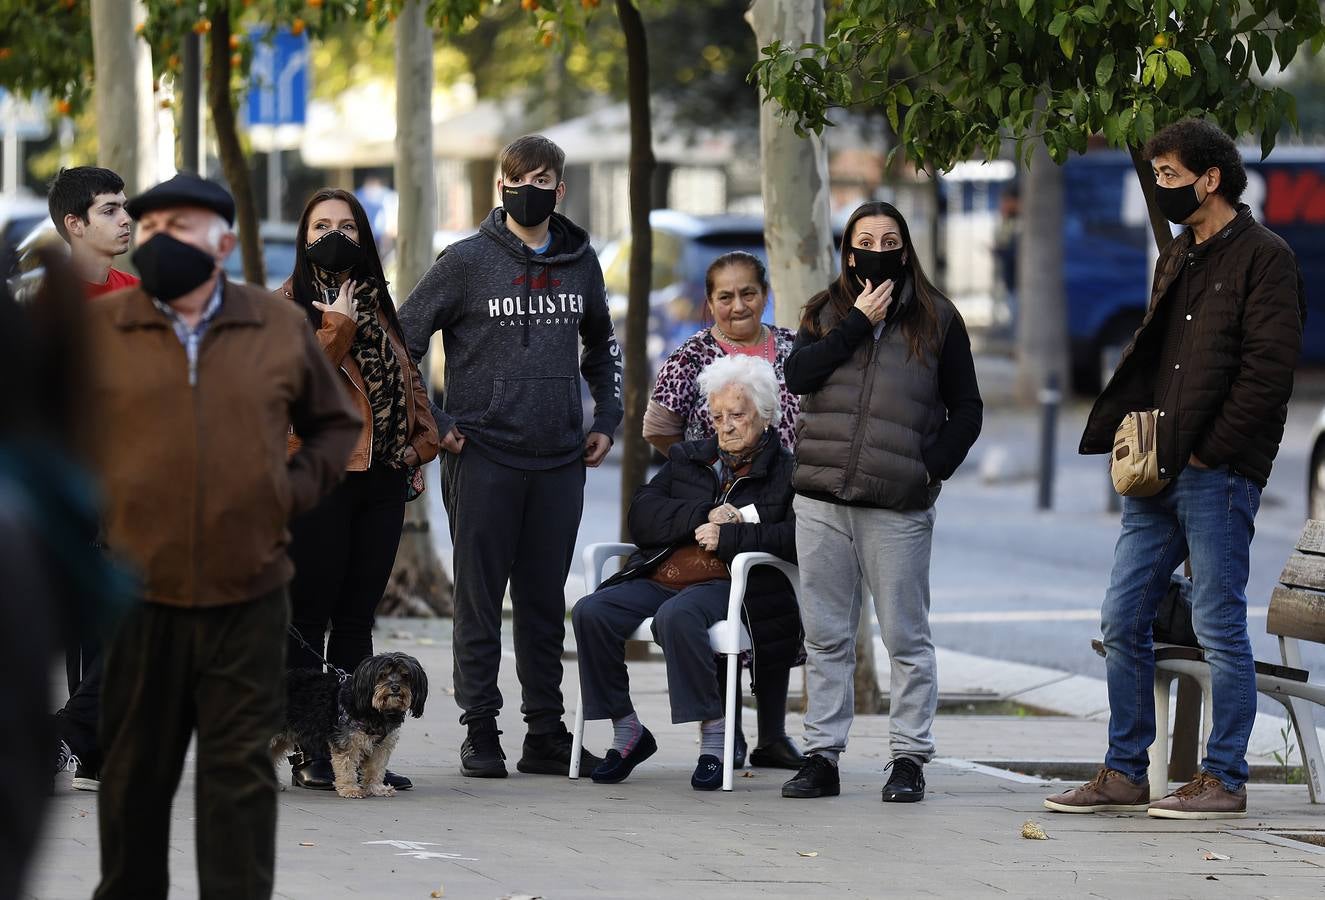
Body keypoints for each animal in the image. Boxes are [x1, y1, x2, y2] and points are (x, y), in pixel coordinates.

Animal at [272, 652, 426, 800]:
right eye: (382, 675)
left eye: (405, 675)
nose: (395, 687)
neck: (374, 710)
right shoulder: (347, 742)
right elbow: (347, 767)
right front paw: (351, 789)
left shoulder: (381, 747)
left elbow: (375, 769)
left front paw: (376, 788)